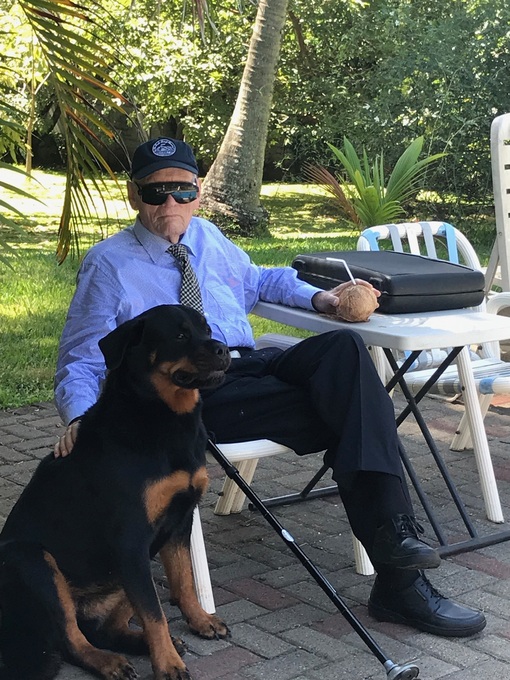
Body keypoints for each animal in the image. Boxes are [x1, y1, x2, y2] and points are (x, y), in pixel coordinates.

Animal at [0, 304, 231, 680]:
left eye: (206, 329)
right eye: (180, 335)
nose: (224, 350)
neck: (161, 417)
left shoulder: (179, 522)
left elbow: (183, 582)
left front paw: (199, 621)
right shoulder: (132, 537)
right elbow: (155, 613)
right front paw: (168, 664)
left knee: (103, 629)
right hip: (35, 561)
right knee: (72, 639)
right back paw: (109, 661)